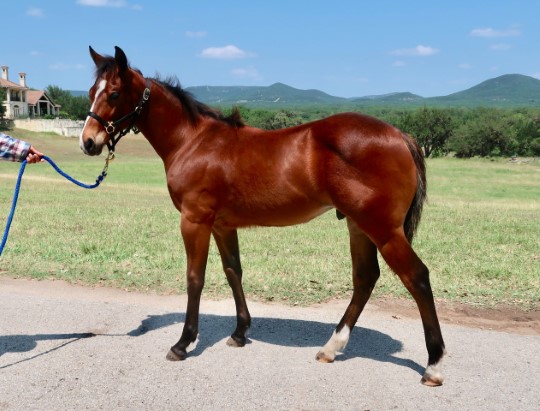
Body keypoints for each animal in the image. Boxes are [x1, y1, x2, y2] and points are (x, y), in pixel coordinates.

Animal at [78, 46, 446, 388]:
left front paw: (183, 343)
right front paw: (240, 333)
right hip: (359, 226)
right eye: (90, 91)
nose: (88, 143)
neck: (193, 141)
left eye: (113, 93)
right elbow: (233, 272)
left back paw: (434, 365)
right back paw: (331, 347)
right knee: (365, 278)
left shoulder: (195, 221)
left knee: (417, 277)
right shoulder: (223, 225)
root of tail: (402, 136)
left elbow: (195, 278)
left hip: (383, 229)